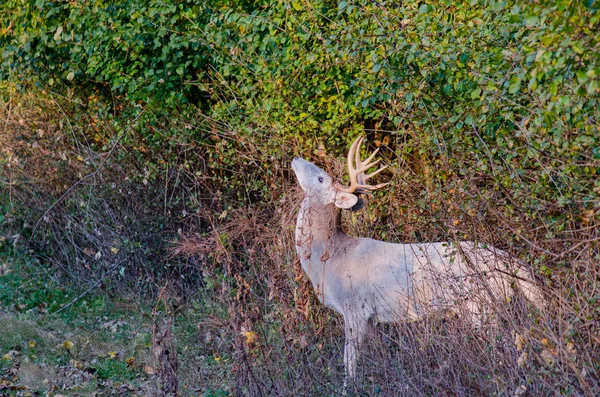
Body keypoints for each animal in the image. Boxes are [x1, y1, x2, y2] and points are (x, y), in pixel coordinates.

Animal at [290, 135, 544, 384]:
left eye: (321, 178)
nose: (296, 158)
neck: (330, 258)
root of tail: (509, 261)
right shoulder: (372, 319)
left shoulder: (355, 307)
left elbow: (349, 362)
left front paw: (349, 388)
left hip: (481, 305)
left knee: (506, 346)